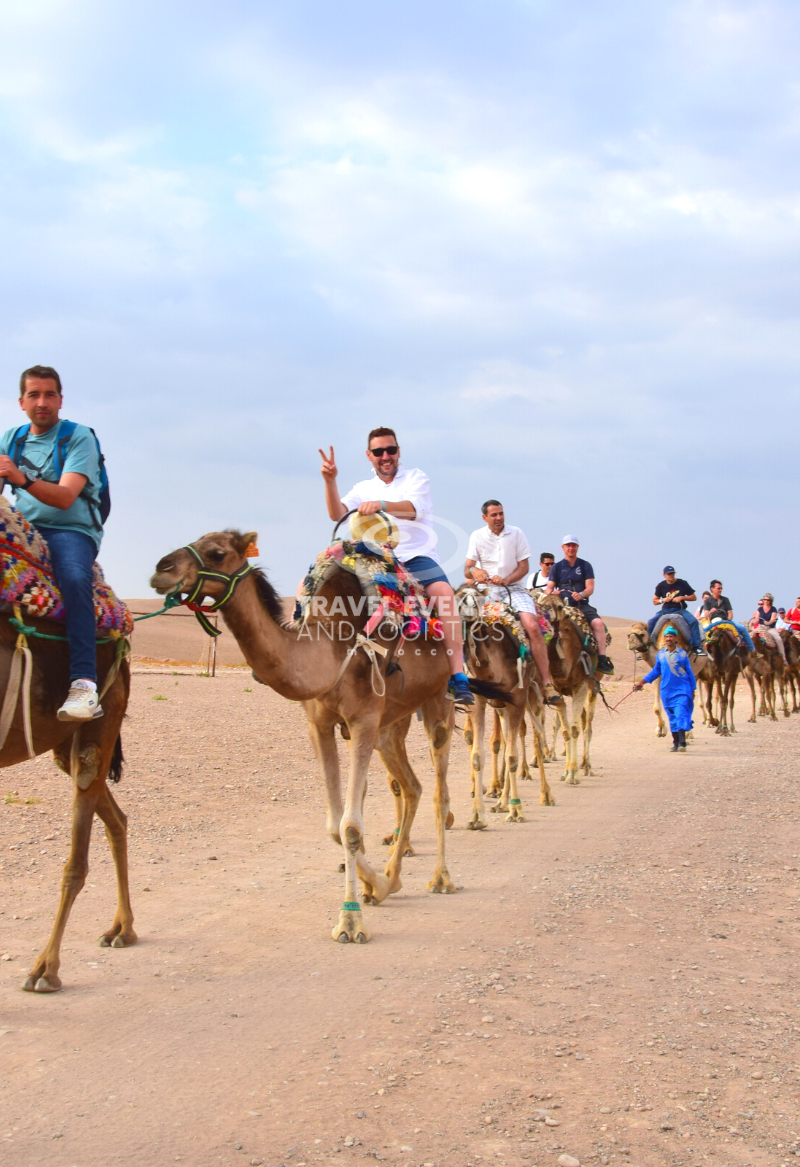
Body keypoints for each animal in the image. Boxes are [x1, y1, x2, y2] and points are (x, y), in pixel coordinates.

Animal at [0, 611, 131, 994]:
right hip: (63, 746)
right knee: (117, 819)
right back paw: (122, 929)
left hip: (100, 723)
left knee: (77, 862)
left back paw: (46, 969)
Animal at [151, 534, 471, 942]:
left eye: (217, 553)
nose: (161, 570)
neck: (330, 647)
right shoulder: (320, 724)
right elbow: (336, 825)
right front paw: (376, 886)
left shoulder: (363, 719)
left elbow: (350, 826)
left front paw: (350, 922)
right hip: (392, 722)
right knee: (411, 786)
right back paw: (394, 875)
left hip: (437, 703)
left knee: (438, 791)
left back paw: (441, 879)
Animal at [461, 583, 555, 821]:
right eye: (458, 595)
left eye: (477, 597)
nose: (467, 611)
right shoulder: (479, 701)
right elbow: (479, 754)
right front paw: (477, 815)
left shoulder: (517, 700)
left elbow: (512, 755)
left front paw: (516, 809)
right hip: (503, 706)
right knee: (505, 743)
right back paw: (501, 801)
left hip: (534, 694)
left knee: (537, 737)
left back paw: (546, 794)